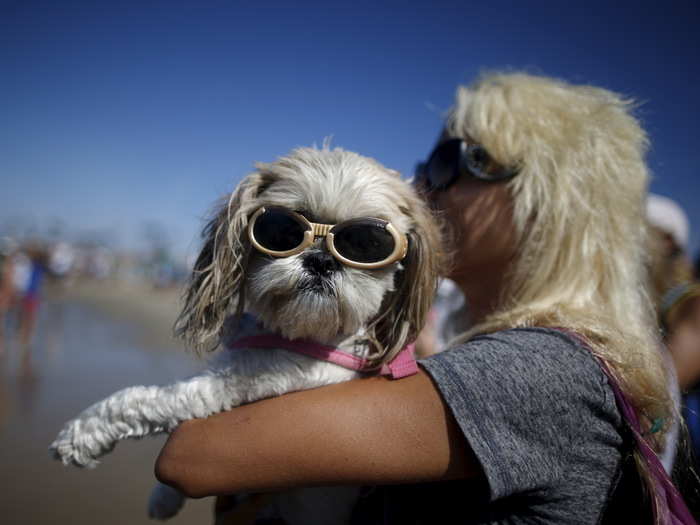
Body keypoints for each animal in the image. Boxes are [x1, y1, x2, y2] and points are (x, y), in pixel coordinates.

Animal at [49, 145, 442, 520]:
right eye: (283, 230)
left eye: (367, 244)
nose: (321, 260)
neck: (303, 335)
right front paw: (163, 498)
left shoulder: (241, 383)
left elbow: (147, 399)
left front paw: (81, 435)